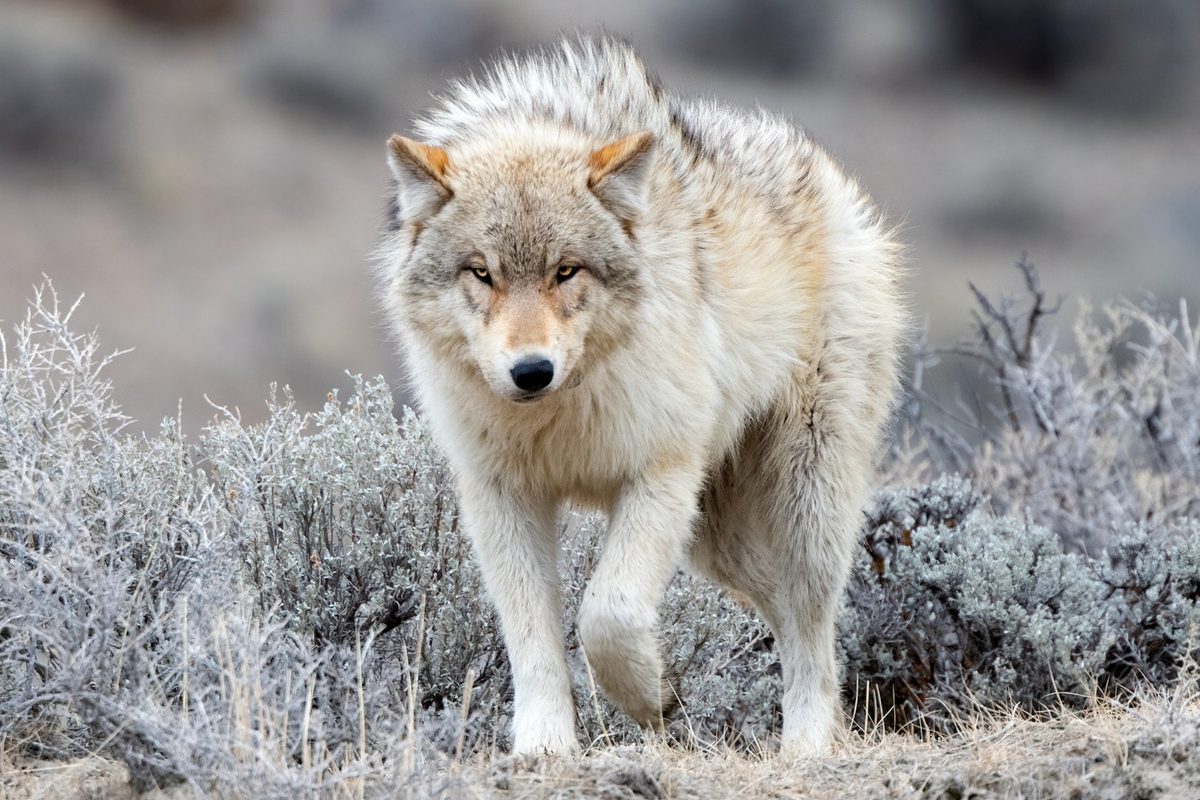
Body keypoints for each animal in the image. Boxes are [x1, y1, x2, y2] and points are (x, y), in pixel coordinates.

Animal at [375, 37, 905, 756]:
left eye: (565, 270)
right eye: (481, 273)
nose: (531, 371)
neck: (559, 416)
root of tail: (830, 175)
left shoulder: (661, 475)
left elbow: (608, 614)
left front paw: (646, 695)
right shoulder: (502, 496)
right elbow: (533, 639)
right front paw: (544, 746)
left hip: (803, 509)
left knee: (812, 628)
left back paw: (808, 746)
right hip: (717, 540)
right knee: (779, 612)